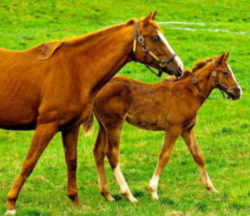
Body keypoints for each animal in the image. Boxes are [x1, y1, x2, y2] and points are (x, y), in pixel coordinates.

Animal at [0, 11, 184, 214]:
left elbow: (72, 161)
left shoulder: (70, 127)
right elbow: (29, 162)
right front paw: (11, 203)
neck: (74, 70)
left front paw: (75, 200)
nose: (179, 67)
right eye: (155, 37)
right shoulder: (46, 126)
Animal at [84, 52, 242, 202]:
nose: (238, 91)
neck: (189, 93)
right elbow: (164, 156)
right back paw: (128, 195)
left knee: (98, 151)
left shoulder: (187, 129)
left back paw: (107, 194)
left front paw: (211, 187)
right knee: (112, 153)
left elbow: (198, 155)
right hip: (114, 123)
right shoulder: (173, 129)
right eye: (225, 72)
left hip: (103, 125)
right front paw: (153, 191)